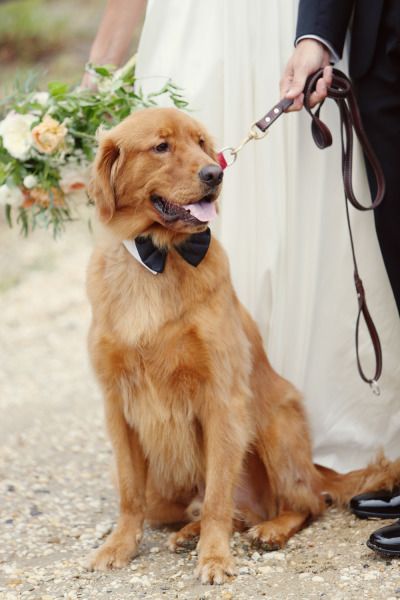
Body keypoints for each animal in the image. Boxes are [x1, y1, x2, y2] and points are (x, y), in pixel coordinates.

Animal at [86, 105, 400, 584]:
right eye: (161, 146)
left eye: (200, 143)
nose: (214, 173)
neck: (158, 259)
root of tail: (317, 468)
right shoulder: (117, 404)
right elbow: (129, 492)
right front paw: (119, 545)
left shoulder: (222, 398)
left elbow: (219, 492)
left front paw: (215, 558)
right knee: (224, 509)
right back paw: (190, 532)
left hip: (275, 425)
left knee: (304, 503)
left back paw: (268, 529)